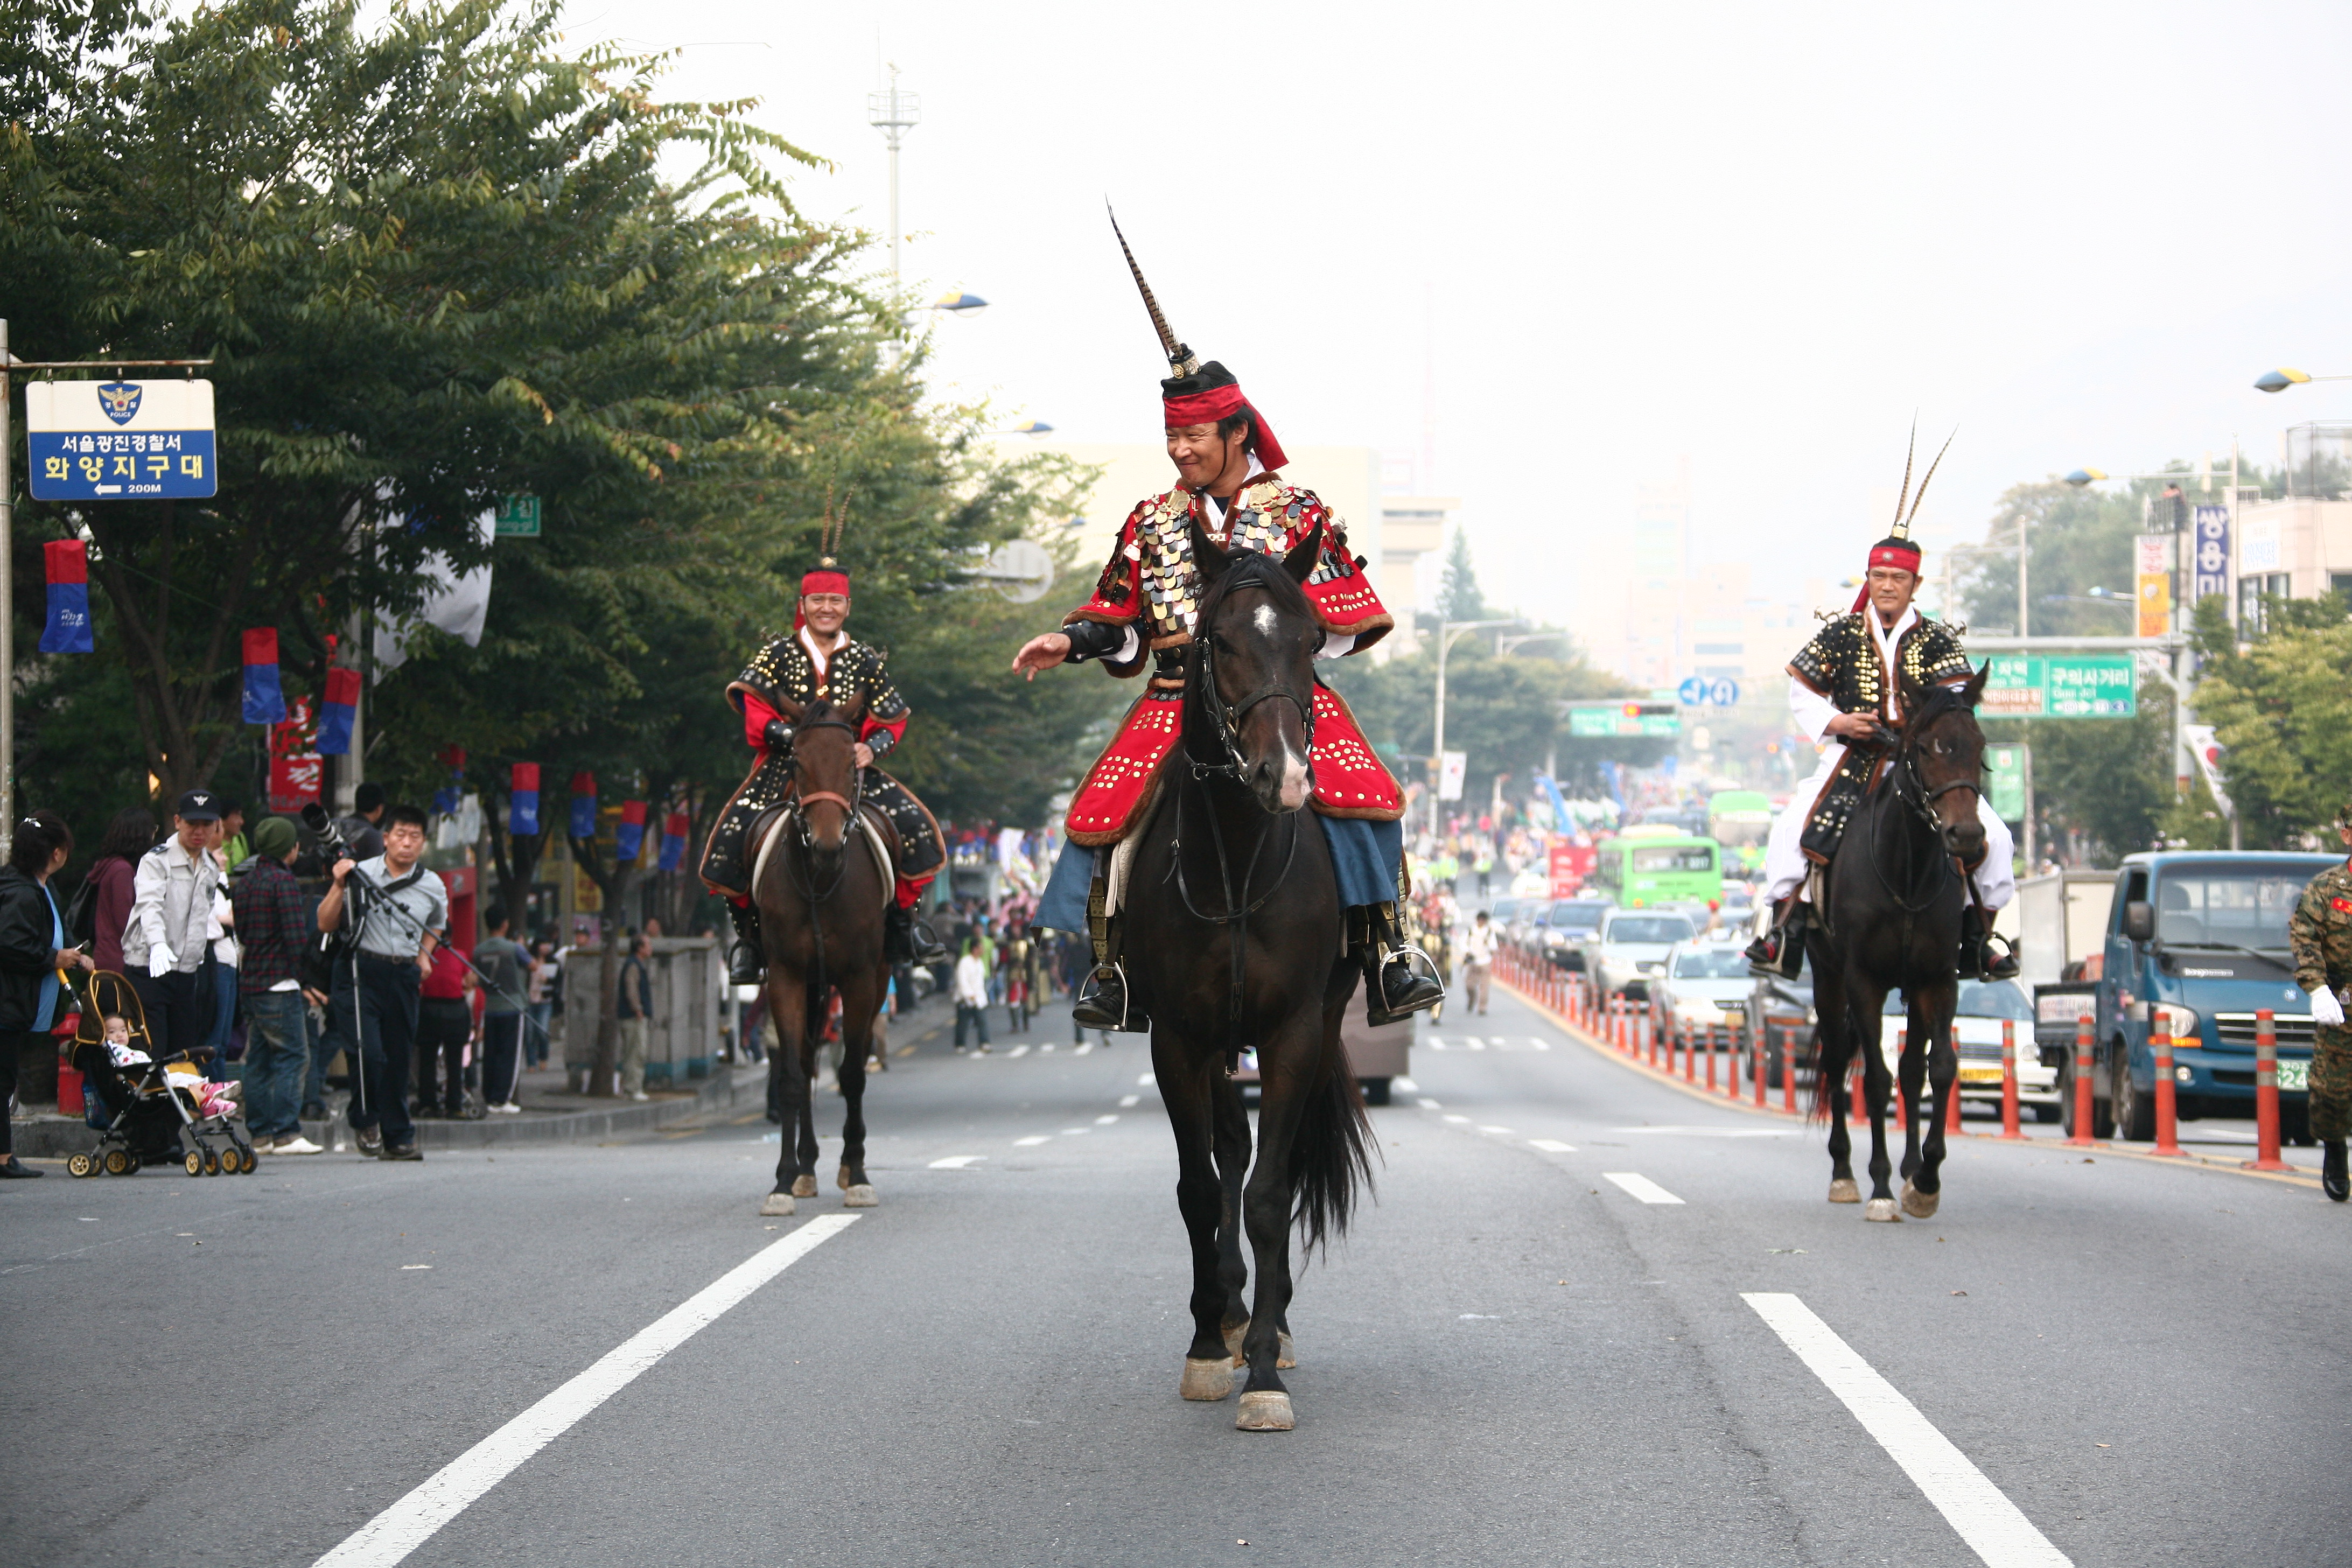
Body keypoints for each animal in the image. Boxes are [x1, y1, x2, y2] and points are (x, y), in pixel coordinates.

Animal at [757, 691, 893, 1222]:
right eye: (796, 760)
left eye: (852, 762)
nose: (828, 844)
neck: (820, 879)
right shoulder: (786, 976)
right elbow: (793, 1076)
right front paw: (782, 1180)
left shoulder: (860, 978)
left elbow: (853, 1073)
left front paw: (858, 1175)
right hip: (814, 985)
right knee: (808, 1060)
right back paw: (807, 1167)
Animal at [1119, 524, 1373, 1438]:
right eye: (1219, 643)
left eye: (1310, 641)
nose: (1286, 775)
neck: (1233, 861)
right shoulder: (1177, 1038)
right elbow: (1202, 1188)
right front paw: (1207, 1347)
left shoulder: (1293, 1029)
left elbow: (1268, 1193)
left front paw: (1264, 1369)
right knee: (1228, 1148)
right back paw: (1226, 1312)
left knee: (1274, 1163)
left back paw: (1268, 1323)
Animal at [1806, 663, 1994, 1222]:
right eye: (1927, 749)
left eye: (1979, 745)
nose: (1967, 838)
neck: (1906, 871)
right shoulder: (1862, 980)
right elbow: (1875, 1079)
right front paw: (1881, 1186)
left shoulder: (1938, 978)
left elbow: (1940, 1068)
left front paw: (1925, 1178)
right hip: (1827, 978)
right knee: (1837, 1061)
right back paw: (1845, 1173)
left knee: (1912, 1071)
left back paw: (1912, 1169)